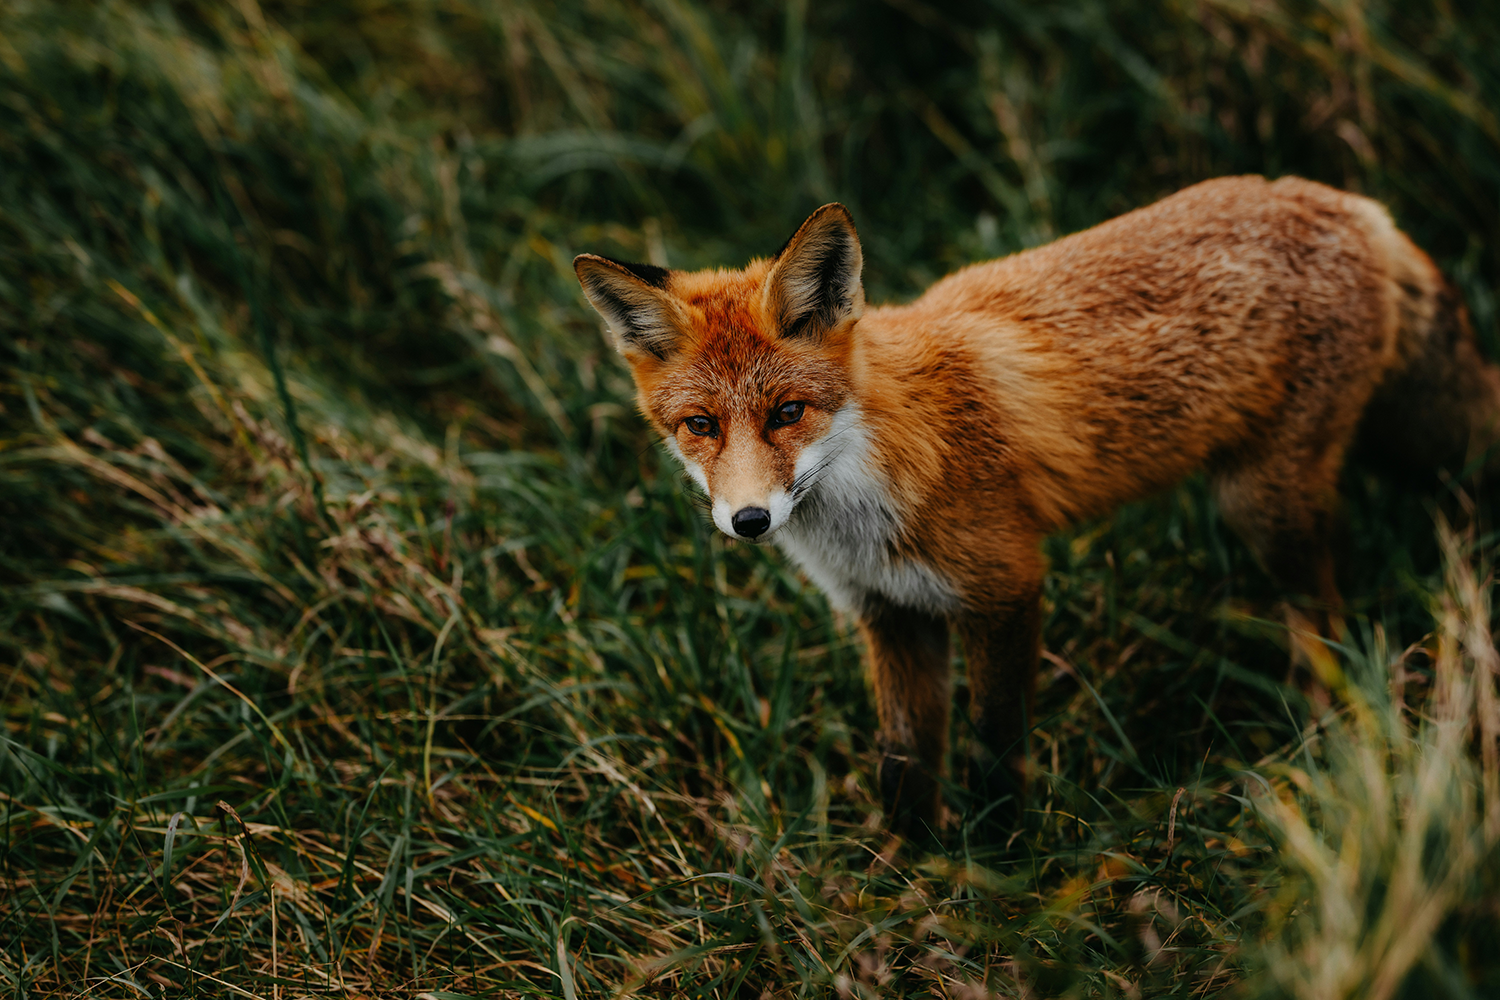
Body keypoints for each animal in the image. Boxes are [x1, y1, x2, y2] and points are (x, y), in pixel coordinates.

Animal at [573, 175, 1500, 833]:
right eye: (700, 426)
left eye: (786, 413)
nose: (750, 522)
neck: (868, 502)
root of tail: (1349, 202)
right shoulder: (891, 615)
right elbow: (904, 762)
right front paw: (907, 879)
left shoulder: (1005, 586)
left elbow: (992, 746)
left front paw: (998, 865)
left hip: (1261, 502)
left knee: (1325, 616)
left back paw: (1321, 735)